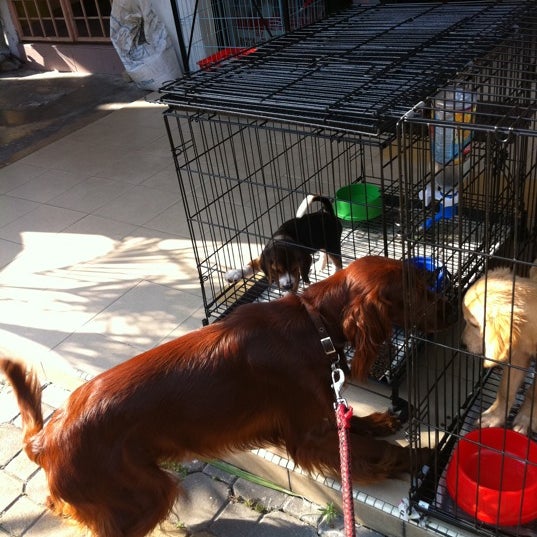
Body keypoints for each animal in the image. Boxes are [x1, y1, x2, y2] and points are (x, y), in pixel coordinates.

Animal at [1, 256, 455, 537]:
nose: (450, 308)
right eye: (418, 290)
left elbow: (354, 421)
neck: (314, 324)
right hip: (143, 496)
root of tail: (45, 440)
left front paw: (383, 420)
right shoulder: (310, 436)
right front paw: (425, 460)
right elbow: (378, 451)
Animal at [461, 262, 537, 435]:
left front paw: (526, 418)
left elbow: (533, 393)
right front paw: (494, 416)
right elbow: (505, 389)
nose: (462, 344)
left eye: (473, 324)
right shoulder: (519, 353)